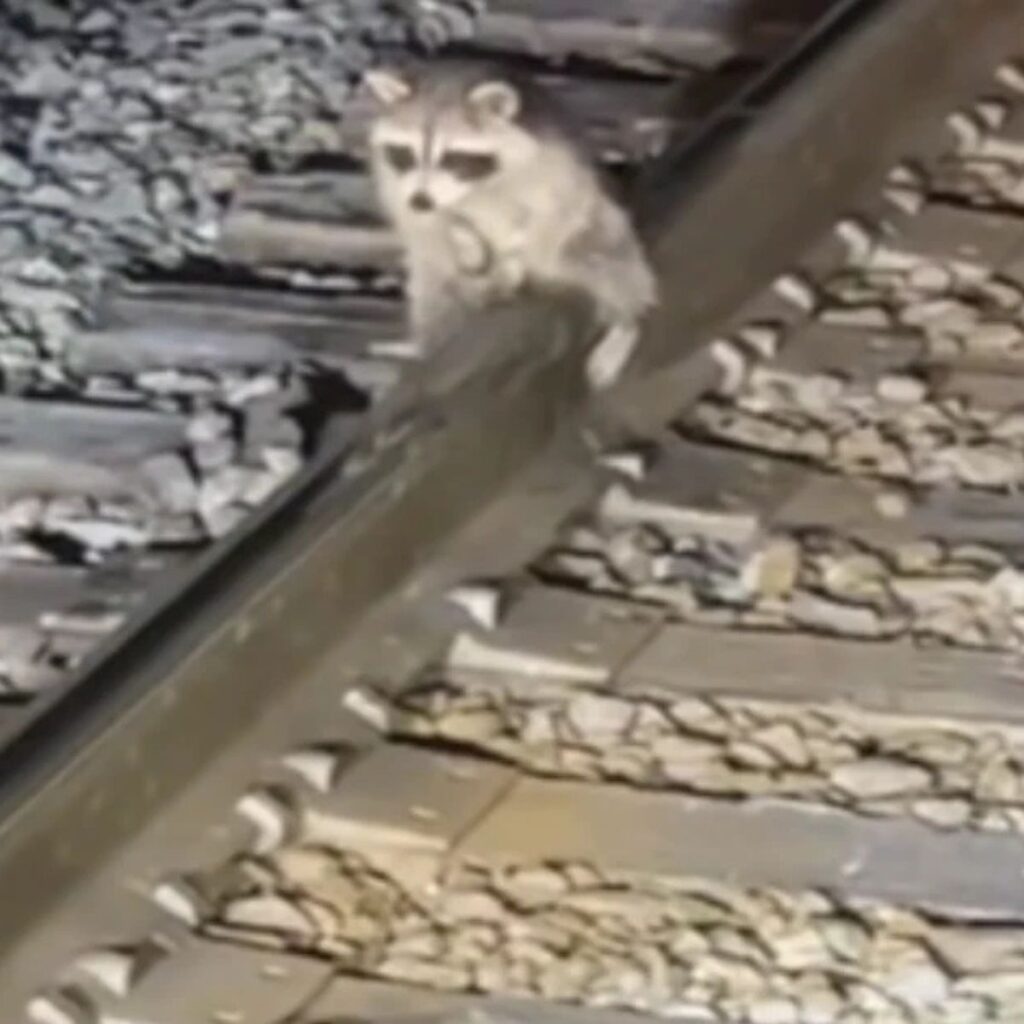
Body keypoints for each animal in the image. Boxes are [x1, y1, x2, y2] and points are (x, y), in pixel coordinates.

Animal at [364, 57, 659, 376]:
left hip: (599, 227)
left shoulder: (551, 161)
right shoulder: (398, 183)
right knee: (434, 293)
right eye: (405, 153)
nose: (421, 201)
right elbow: (423, 222)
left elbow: (553, 210)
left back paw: (625, 323)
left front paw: (520, 250)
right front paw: (460, 233)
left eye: (453, 158)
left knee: (608, 264)